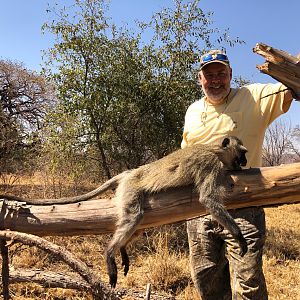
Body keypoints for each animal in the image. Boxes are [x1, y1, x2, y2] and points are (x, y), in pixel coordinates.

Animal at [0, 136, 248, 288]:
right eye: (242, 152)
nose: (245, 161)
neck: (215, 150)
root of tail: (130, 172)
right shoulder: (210, 165)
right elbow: (207, 199)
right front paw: (238, 236)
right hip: (131, 190)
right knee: (133, 217)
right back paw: (110, 253)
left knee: (136, 224)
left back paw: (122, 250)